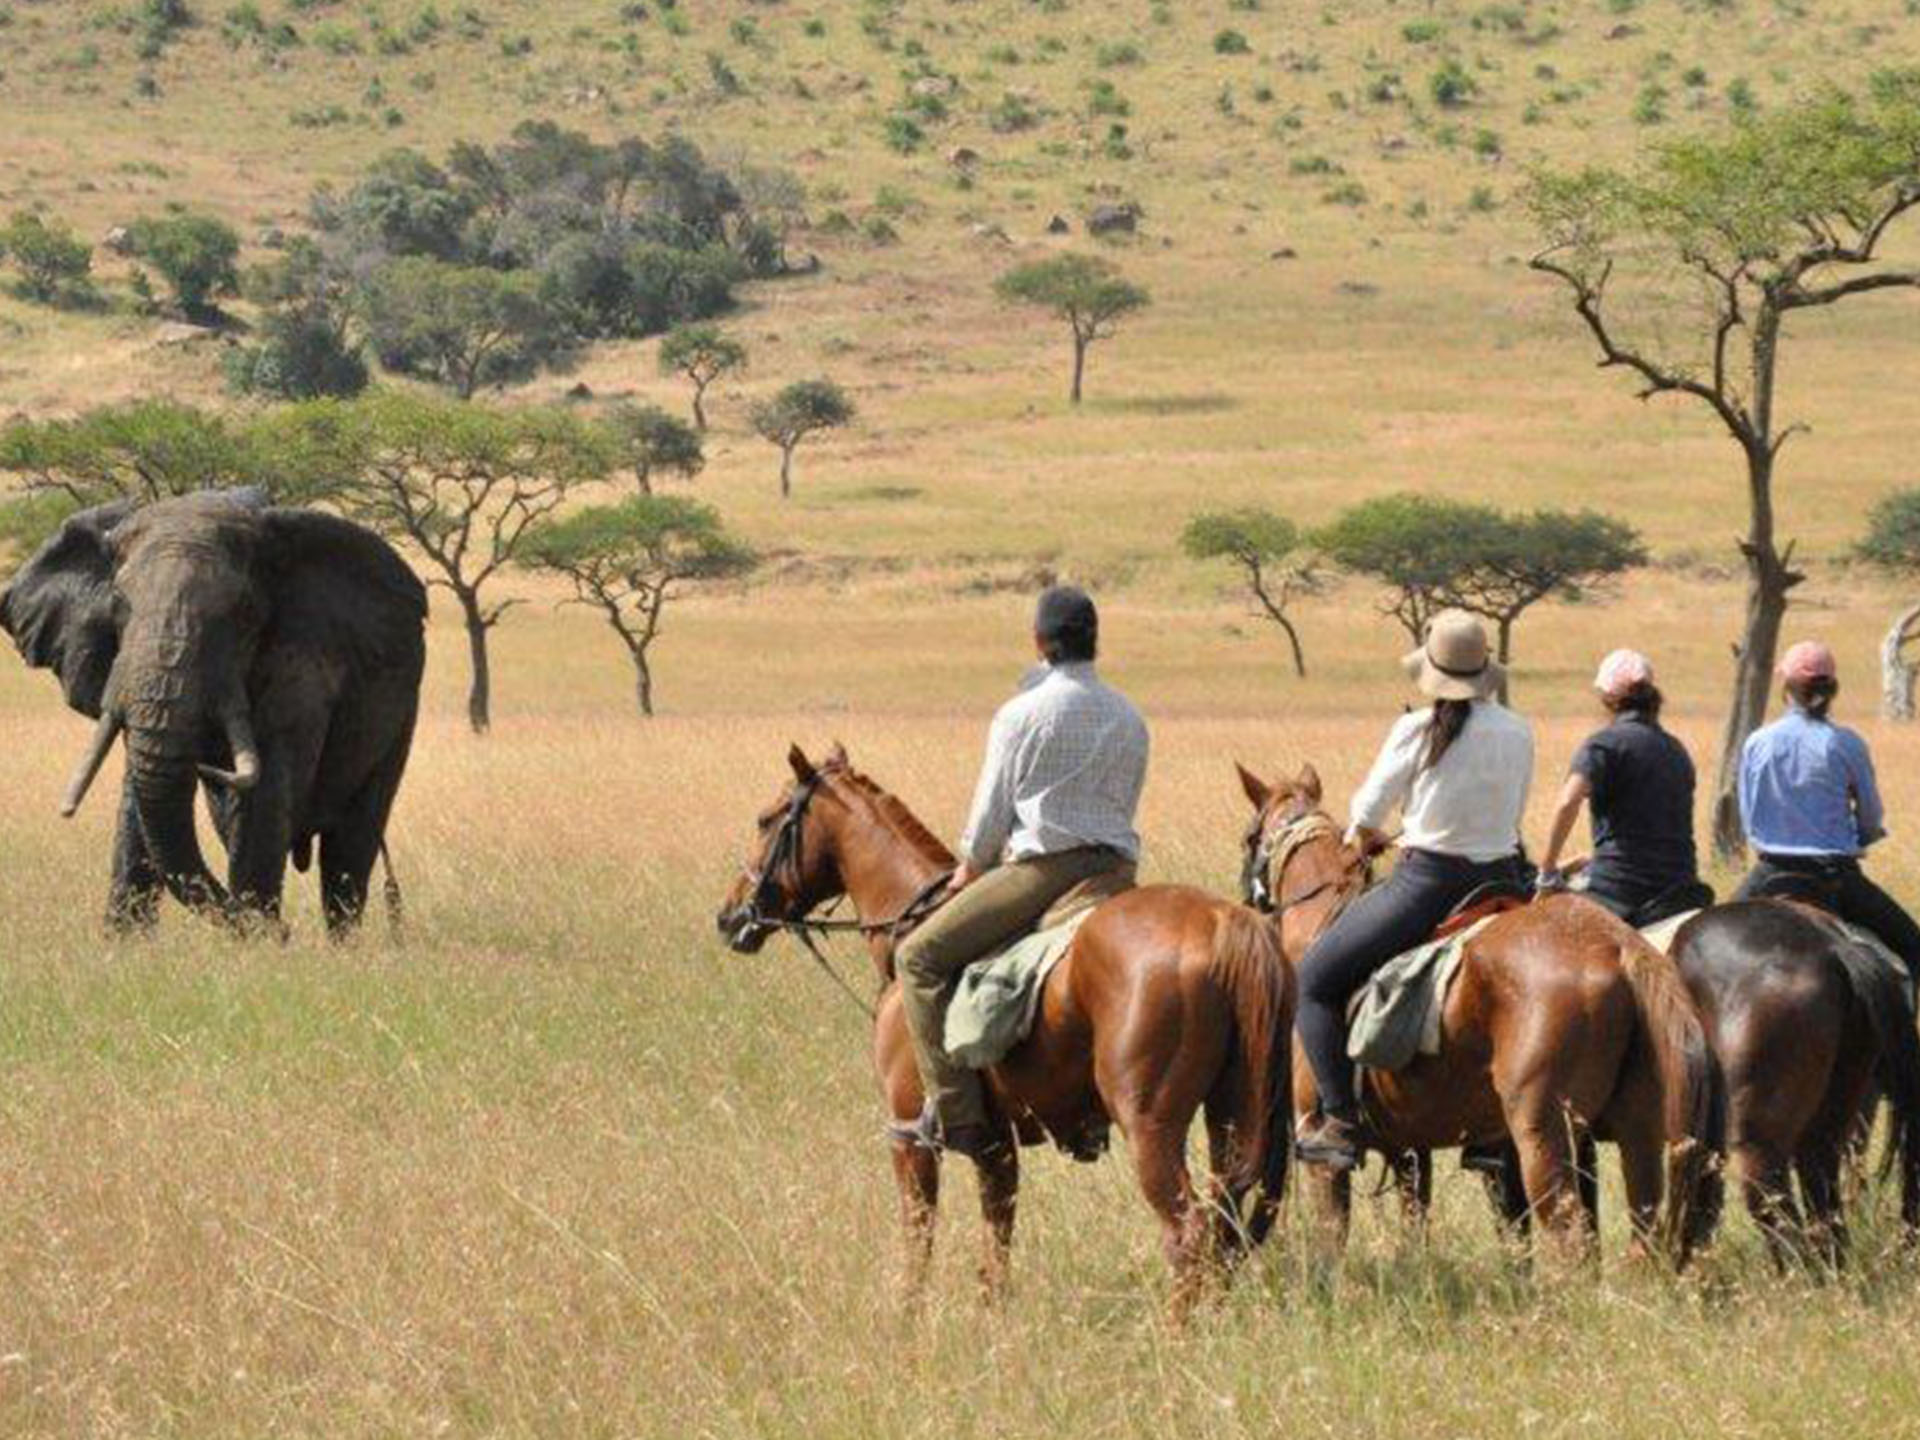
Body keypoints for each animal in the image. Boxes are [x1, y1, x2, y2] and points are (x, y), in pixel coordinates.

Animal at [0, 487, 428, 936]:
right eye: (118, 605)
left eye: (243, 614)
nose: (286, 931)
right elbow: (139, 797)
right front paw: (124, 944)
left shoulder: (302, 659)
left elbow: (266, 794)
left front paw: (257, 940)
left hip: (404, 710)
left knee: (350, 848)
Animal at [721, 748, 1305, 1313]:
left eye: (766, 819)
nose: (730, 916)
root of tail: (1226, 925)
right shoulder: (996, 1148)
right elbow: (995, 1250)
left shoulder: (909, 1136)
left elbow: (918, 1241)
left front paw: (908, 1321)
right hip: (1229, 1115)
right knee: (1224, 1225)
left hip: (1150, 1126)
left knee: (1189, 1232)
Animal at [1244, 760, 1728, 1267]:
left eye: (1250, 838)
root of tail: (1617, 947)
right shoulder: (1409, 1147)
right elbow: (1416, 1222)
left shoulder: (1322, 1154)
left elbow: (1332, 1234)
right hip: (1640, 1137)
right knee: (1642, 1232)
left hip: (1544, 1138)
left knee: (1571, 1240)